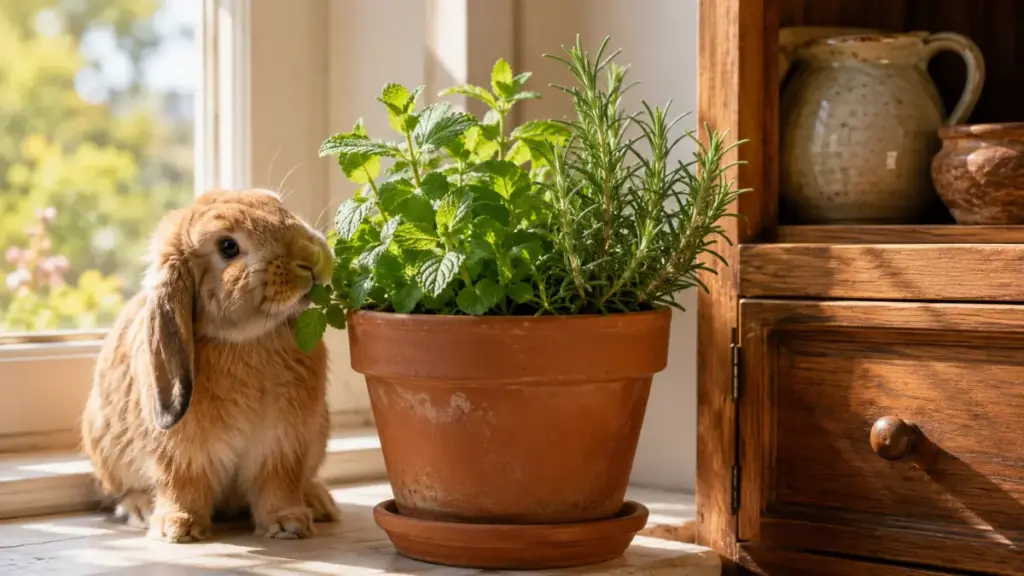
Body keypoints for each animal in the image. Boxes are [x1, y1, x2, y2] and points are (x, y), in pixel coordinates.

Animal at [81, 188, 341, 543]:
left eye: (278, 205)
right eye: (228, 246)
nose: (311, 256)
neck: (246, 340)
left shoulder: (282, 444)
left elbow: (278, 482)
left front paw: (289, 523)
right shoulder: (180, 453)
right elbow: (182, 484)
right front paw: (178, 527)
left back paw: (318, 502)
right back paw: (142, 509)